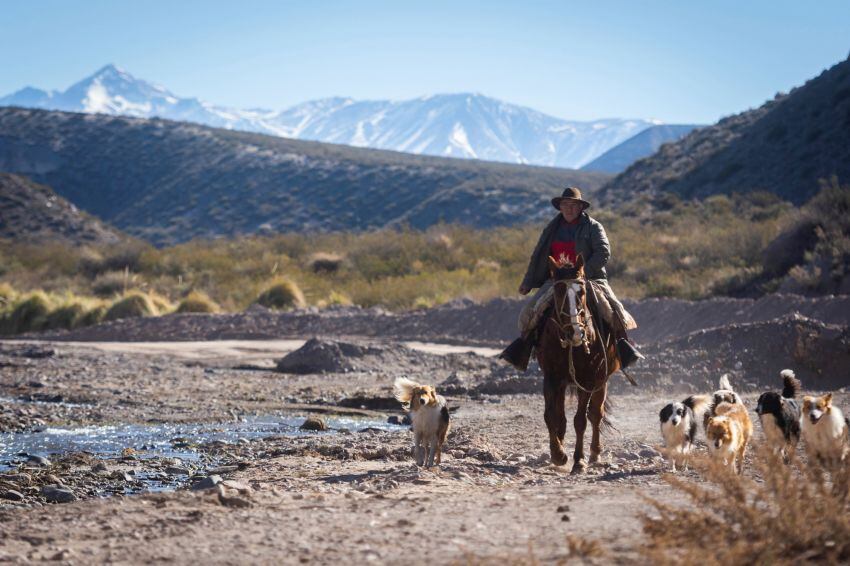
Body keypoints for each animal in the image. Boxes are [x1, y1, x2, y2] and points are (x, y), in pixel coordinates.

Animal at [536, 255, 616, 472]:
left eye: (581, 292)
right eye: (558, 291)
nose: (576, 332)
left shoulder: (587, 382)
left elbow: (580, 420)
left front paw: (578, 460)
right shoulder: (552, 379)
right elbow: (550, 416)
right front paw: (558, 454)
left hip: (601, 382)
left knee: (596, 415)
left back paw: (595, 453)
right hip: (564, 385)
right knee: (562, 418)